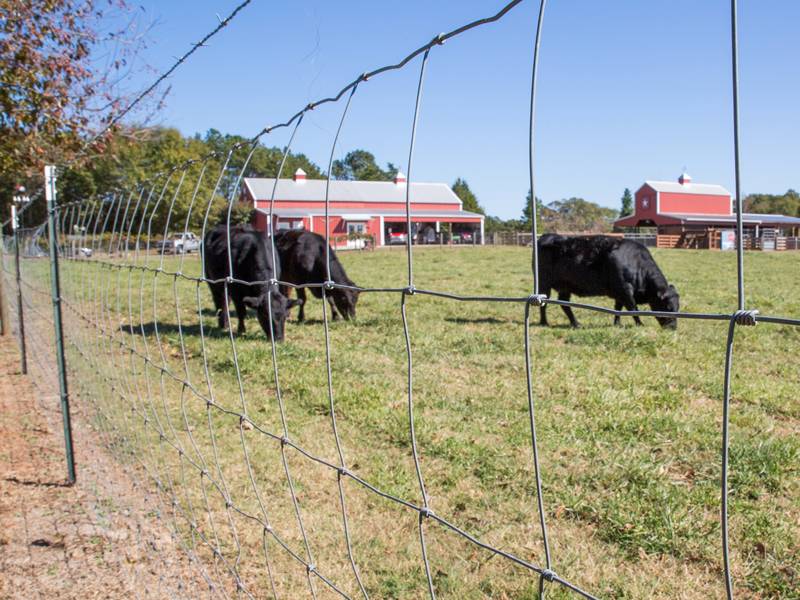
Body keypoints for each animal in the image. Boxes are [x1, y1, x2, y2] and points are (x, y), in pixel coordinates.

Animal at [536, 233, 680, 328]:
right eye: (667, 306)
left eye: (677, 307)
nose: (672, 328)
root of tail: (547, 236)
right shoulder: (625, 291)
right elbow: (633, 308)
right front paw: (640, 324)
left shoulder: (620, 293)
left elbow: (618, 309)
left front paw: (617, 324)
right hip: (544, 283)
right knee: (544, 303)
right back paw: (544, 322)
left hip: (565, 286)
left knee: (564, 304)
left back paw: (576, 323)